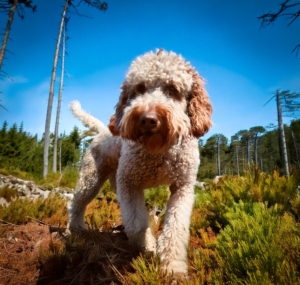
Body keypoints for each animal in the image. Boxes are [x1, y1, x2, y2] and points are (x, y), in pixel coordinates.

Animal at [68, 48, 213, 276]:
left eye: (172, 89)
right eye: (139, 88)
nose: (148, 119)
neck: (158, 151)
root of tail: (102, 130)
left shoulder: (183, 187)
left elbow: (176, 229)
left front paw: (173, 268)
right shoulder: (130, 184)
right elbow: (136, 223)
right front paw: (148, 248)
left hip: (113, 180)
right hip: (91, 179)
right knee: (76, 203)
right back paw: (75, 229)